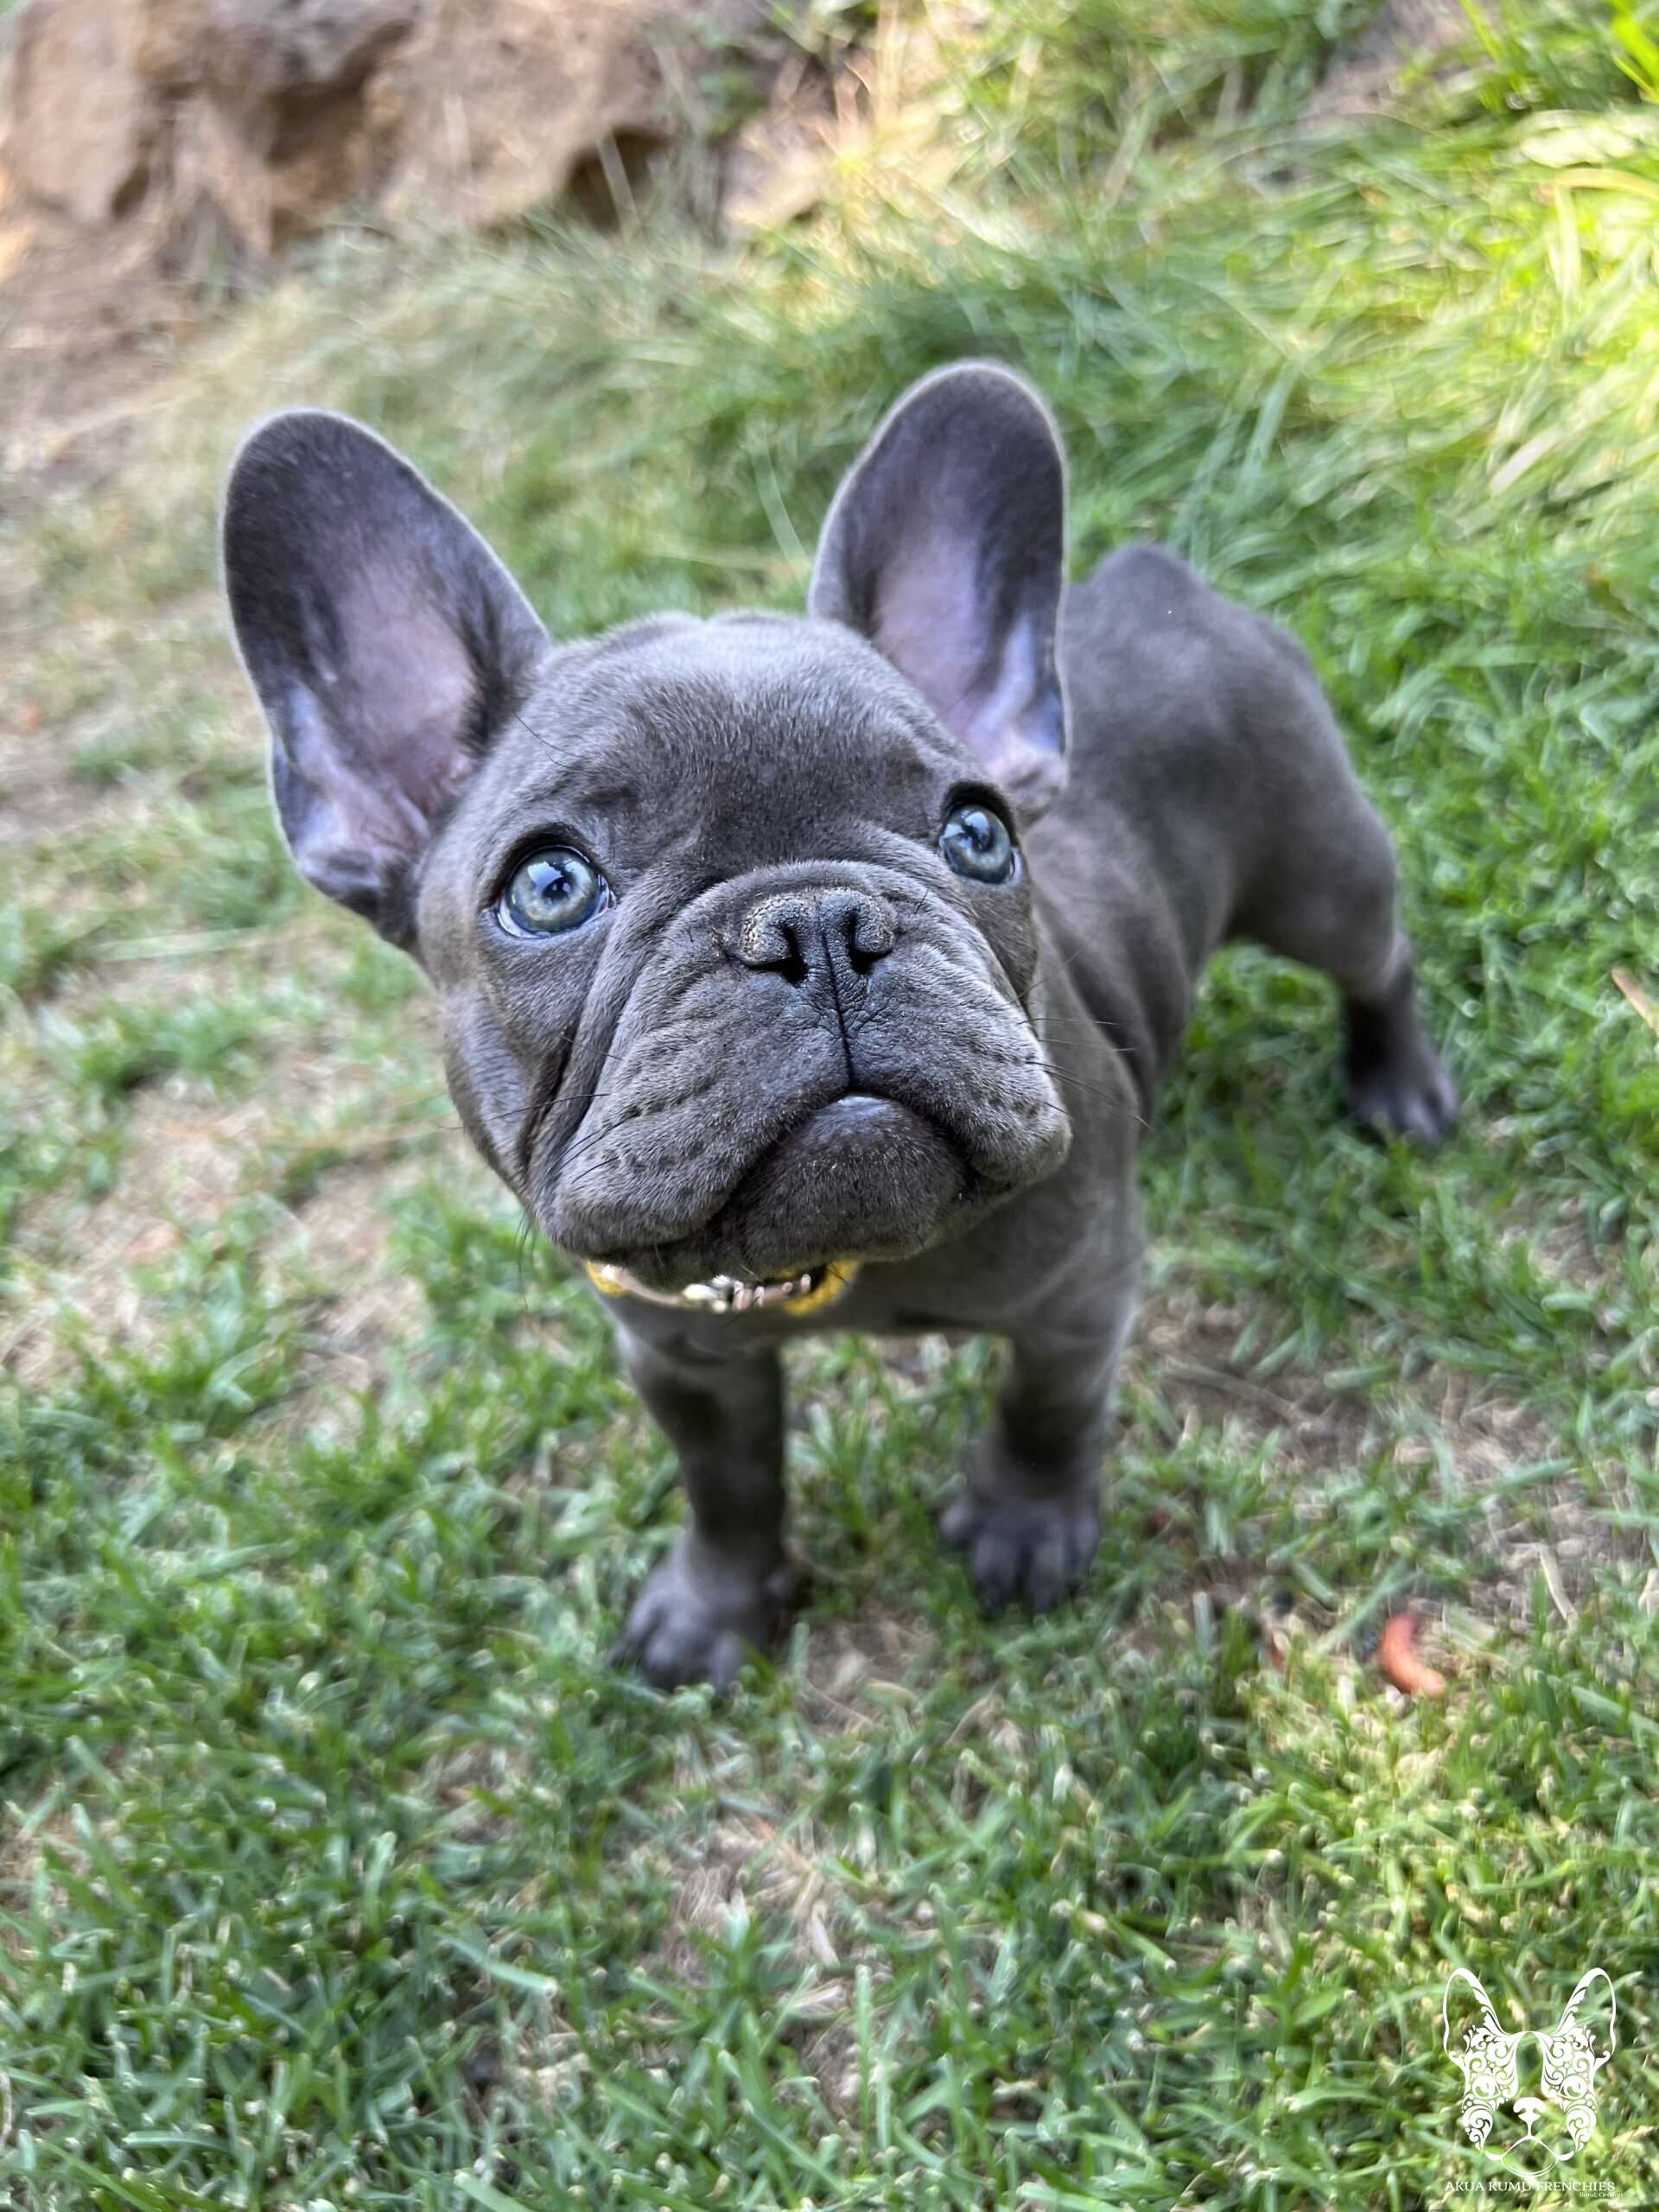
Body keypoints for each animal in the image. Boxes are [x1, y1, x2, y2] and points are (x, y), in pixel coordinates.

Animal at [224, 362, 1451, 1681]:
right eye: (548, 887)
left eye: (978, 832)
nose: (816, 925)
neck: (835, 1266)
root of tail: (1158, 579)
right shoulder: (682, 1362)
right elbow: (728, 1486)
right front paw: (715, 1610)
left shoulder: (1080, 1292)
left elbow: (1048, 1410)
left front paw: (1026, 1529)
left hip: (1319, 872)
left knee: (1378, 957)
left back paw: (1399, 1090)